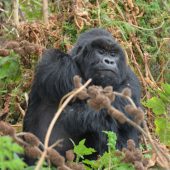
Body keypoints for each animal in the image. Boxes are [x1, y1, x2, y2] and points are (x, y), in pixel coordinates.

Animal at [23, 28, 141, 160]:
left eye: (113, 54)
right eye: (100, 52)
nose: (109, 61)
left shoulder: (130, 76)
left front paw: (75, 115)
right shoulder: (55, 62)